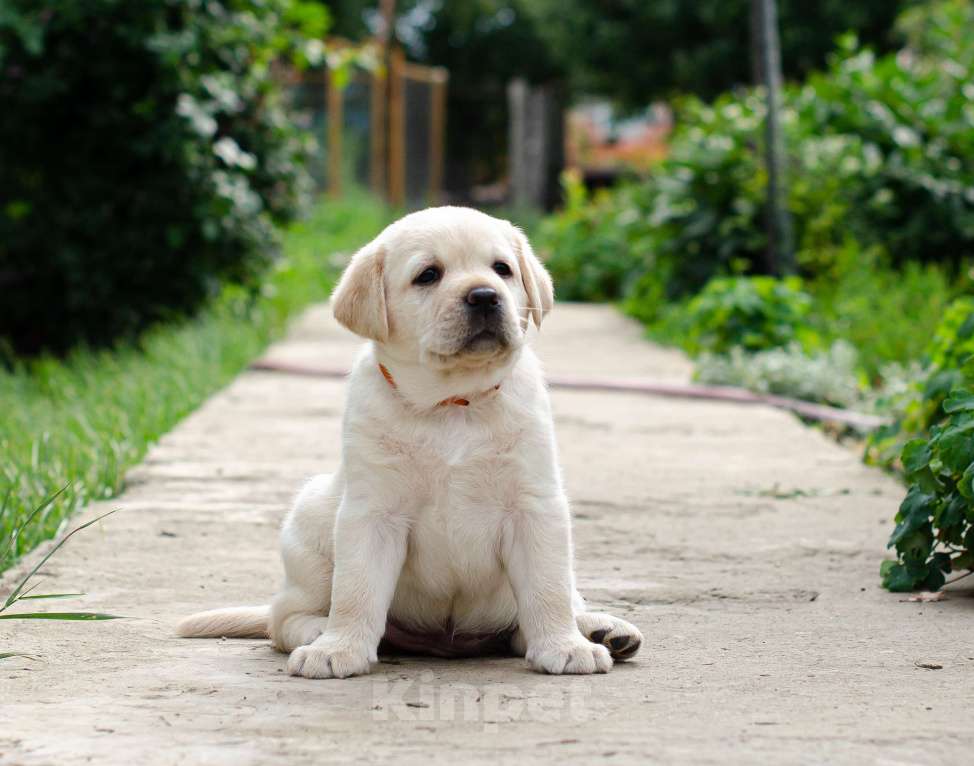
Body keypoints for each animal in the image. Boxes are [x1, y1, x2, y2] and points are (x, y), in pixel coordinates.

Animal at [179, 206, 644, 680]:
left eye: (502, 269)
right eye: (428, 275)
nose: (484, 296)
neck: (452, 403)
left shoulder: (535, 505)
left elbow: (548, 588)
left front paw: (564, 645)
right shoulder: (373, 511)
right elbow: (357, 590)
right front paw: (340, 648)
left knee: (553, 606)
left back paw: (602, 629)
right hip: (310, 524)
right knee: (283, 617)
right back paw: (317, 633)